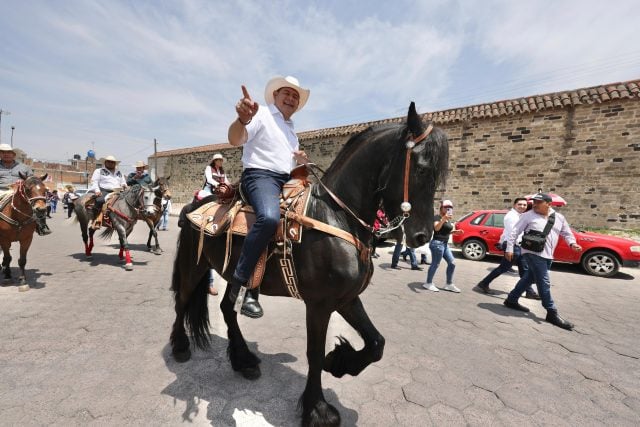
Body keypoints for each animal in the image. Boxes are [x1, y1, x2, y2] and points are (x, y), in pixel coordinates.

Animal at [170, 103, 450, 424]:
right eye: (422, 168)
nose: (422, 236)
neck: (337, 216)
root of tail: (195, 205)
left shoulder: (347, 298)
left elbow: (376, 343)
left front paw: (340, 362)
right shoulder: (319, 304)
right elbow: (313, 355)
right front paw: (317, 409)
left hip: (234, 273)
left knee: (227, 309)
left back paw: (244, 360)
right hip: (194, 267)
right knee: (182, 302)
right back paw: (180, 346)